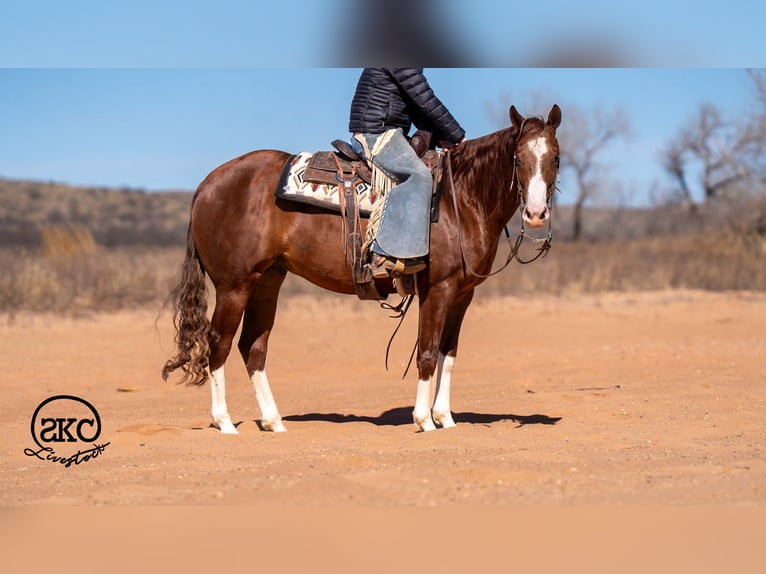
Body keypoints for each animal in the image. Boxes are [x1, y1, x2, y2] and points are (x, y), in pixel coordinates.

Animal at [162, 104, 562, 434]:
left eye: (555, 158)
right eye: (518, 158)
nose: (535, 214)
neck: (460, 198)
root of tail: (206, 185)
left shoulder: (463, 293)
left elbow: (448, 355)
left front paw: (446, 419)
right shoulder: (438, 289)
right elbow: (427, 352)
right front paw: (424, 420)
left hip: (267, 282)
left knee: (253, 346)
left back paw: (273, 422)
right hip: (234, 286)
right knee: (220, 342)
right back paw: (225, 422)